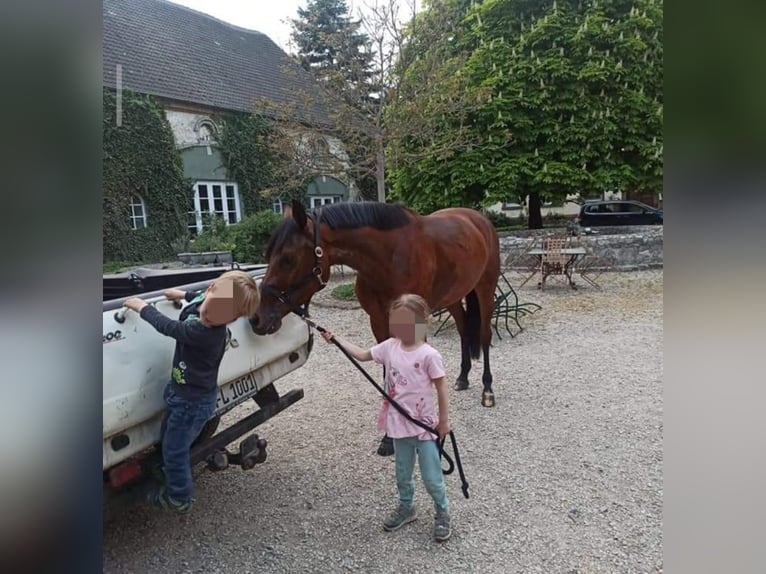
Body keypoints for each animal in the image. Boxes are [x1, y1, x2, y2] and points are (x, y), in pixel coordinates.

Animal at [255, 200, 500, 408]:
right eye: (267, 254)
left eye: (288, 259)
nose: (257, 319)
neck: (389, 258)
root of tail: (478, 219)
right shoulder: (378, 320)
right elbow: (386, 362)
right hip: (453, 296)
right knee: (463, 330)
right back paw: (463, 377)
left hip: (486, 289)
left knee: (484, 334)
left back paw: (488, 389)